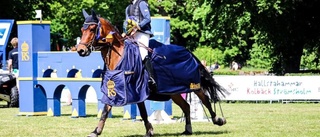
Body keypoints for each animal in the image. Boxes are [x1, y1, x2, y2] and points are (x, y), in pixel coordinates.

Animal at [76, 9, 229, 136]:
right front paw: (96, 131)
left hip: (193, 85)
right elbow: (106, 110)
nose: (81, 50)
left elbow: (142, 112)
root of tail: (188, 52)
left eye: (92, 29)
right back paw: (188, 130)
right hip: (173, 91)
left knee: (205, 99)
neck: (119, 55)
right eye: (82, 30)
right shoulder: (116, 88)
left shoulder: (136, 89)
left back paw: (217, 119)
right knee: (186, 106)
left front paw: (149, 131)